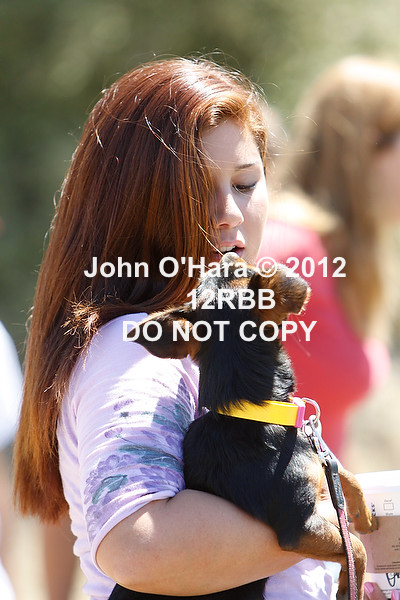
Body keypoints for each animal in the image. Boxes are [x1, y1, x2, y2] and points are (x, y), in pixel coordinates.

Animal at [109, 252, 376, 600]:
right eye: (241, 269)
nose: (228, 253)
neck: (257, 413)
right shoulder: (299, 526)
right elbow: (355, 547)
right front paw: (351, 584)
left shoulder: (316, 459)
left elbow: (340, 471)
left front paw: (362, 513)